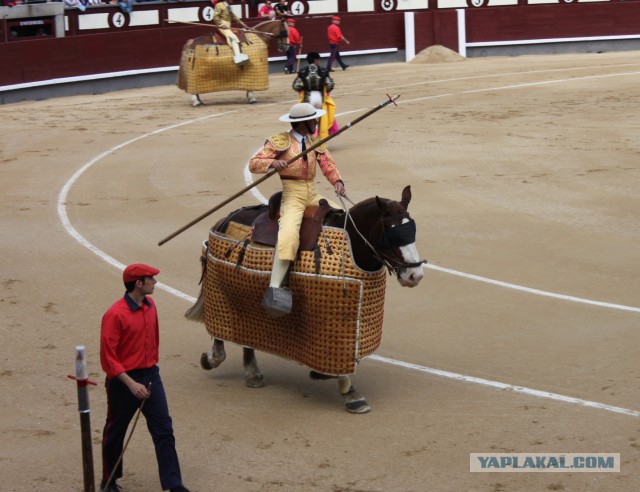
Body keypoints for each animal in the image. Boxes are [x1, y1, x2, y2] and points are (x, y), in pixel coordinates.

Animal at [185, 186, 424, 414]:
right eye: (391, 234)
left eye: (412, 230)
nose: (415, 275)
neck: (351, 244)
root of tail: (225, 219)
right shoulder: (331, 323)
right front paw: (351, 395)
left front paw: (326, 377)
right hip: (222, 285)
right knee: (220, 325)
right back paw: (213, 358)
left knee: (246, 330)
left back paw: (252, 373)